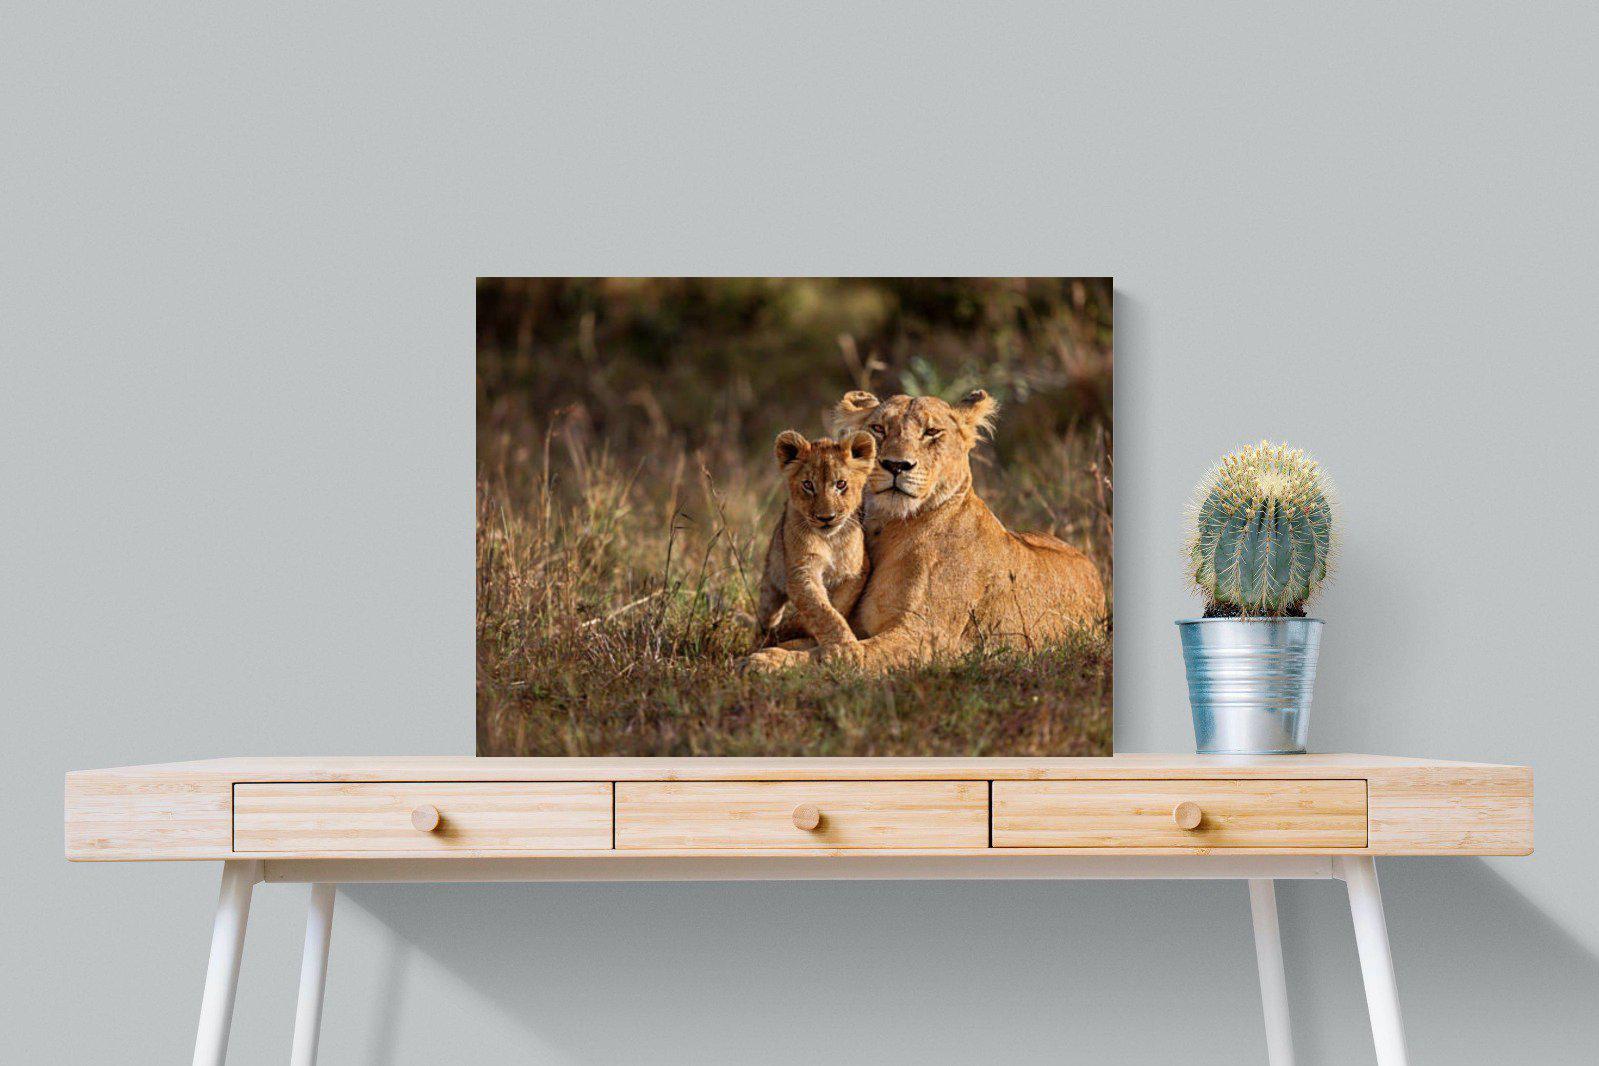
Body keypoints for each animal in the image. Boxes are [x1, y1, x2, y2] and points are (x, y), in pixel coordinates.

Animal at [754, 429, 876, 648]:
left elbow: (837, 606)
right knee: (766, 616)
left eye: (841, 484)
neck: (830, 541)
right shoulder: (801, 571)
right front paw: (845, 647)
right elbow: (822, 610)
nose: (826, 518)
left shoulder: (856, 571)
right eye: (808, 485)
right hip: (771, 581)